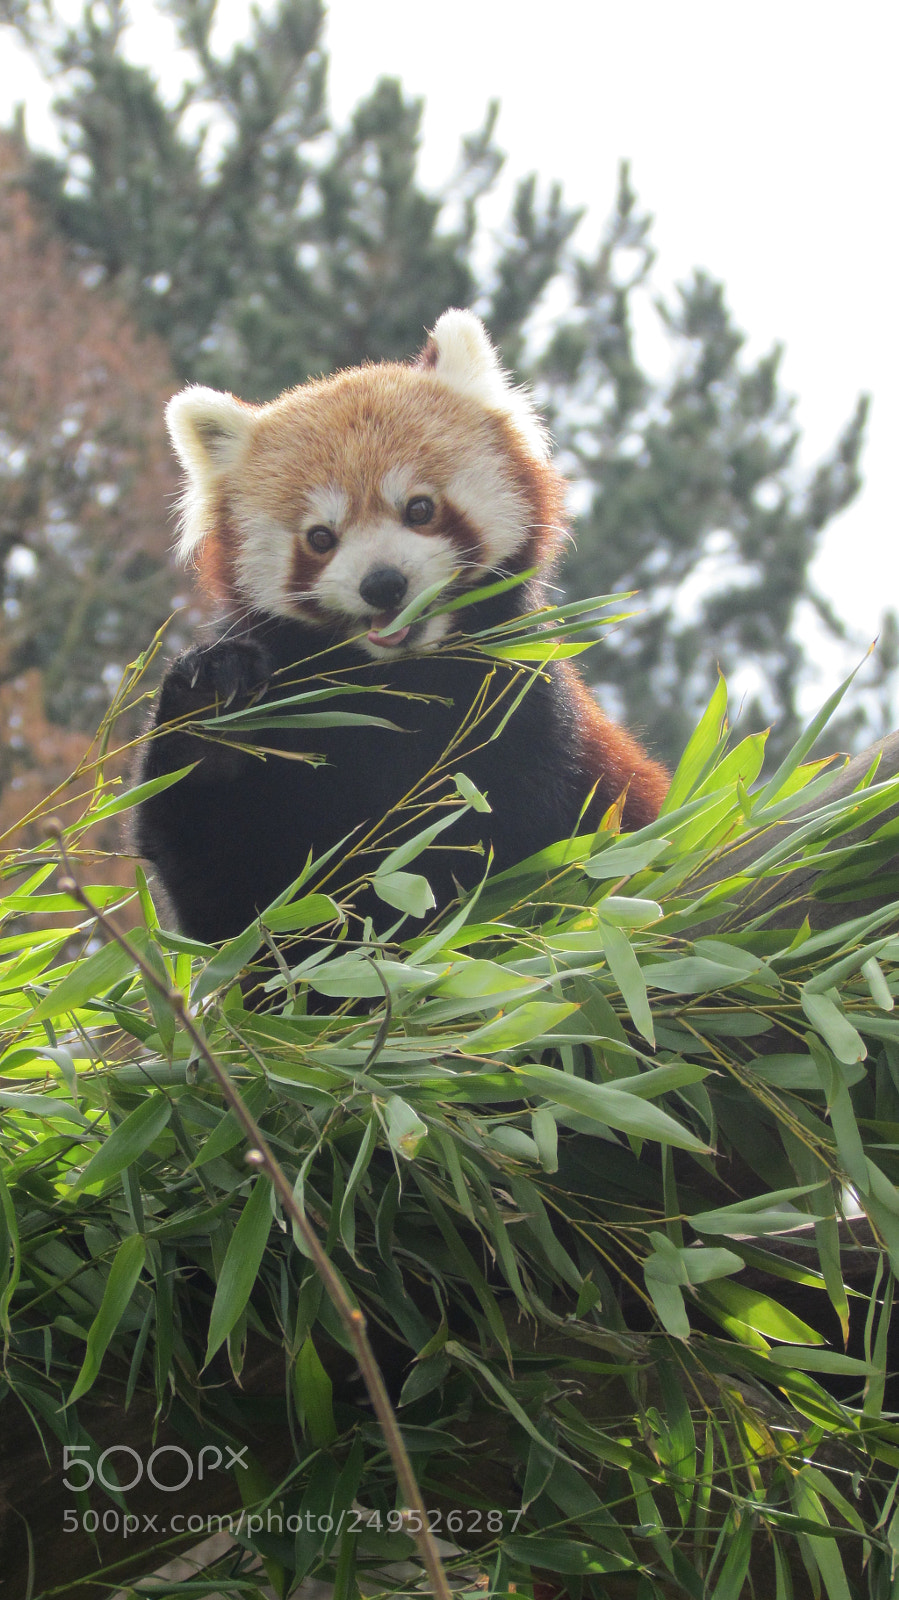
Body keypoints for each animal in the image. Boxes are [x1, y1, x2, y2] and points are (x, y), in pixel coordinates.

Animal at [134, 310, 667, 945]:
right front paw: (213, 700)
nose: (383, 584)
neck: (401, 684)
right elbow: (223, 882)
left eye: (419, 509)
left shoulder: (528, 719)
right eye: (321, 537)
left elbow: (524, 854)